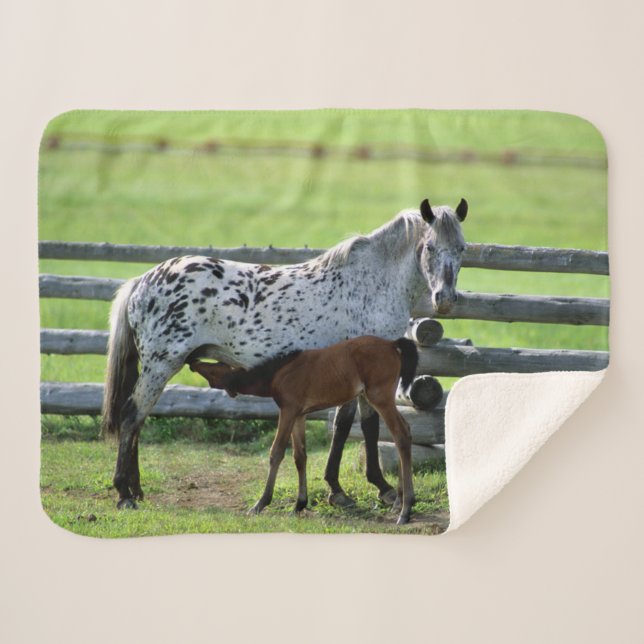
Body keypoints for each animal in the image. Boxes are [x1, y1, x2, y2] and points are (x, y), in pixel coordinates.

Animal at [191, 336, 419, 524]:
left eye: (215, 369)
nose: (193, 362)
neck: (279, 372)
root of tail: (392, 344)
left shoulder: (288, 410)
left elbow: (276, 452)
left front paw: (260, 503)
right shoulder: (299, 414)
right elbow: (300, 456)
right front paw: (299, 504)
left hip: (379, 397)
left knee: (401, 433)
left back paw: (405, 509)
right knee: (404, 432)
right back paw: (399, 502)